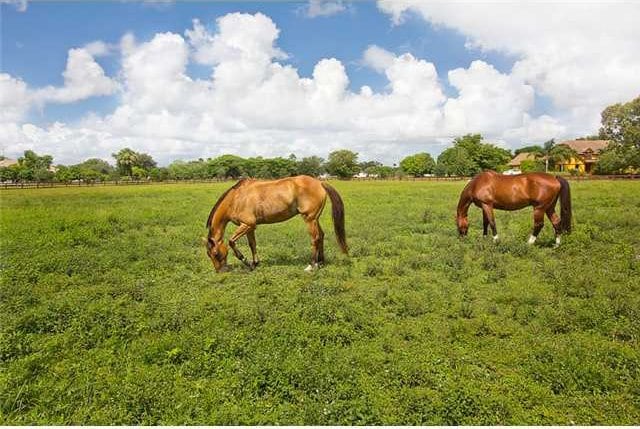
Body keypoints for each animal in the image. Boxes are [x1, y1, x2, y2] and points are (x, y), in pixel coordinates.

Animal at [205, 176, 348, 272]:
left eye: (216, 253)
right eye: (209, 254)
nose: (220, 271)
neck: (236, 199)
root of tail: (319, 182)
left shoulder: (247, 225)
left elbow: (231, 241)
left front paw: (246, 261)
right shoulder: (250, 227)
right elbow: (252, 244)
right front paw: (254, 264)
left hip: (309, 219)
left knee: (315, 238)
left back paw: (312, 265)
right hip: (314, 219)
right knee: (321, 236)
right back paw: (321, 263)